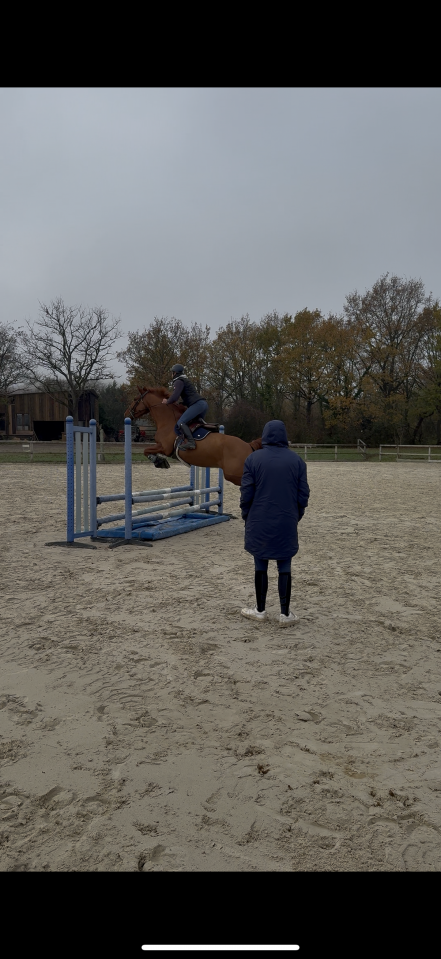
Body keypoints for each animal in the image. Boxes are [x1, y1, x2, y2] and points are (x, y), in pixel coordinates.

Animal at [125, 386, 262, 487]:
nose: (126, 414)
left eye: (135, 399)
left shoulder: (165, 448)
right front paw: (159, 461)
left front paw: (159, 461)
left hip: (233, 475)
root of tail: (249, 445)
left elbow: (146, 450)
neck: (167, 421)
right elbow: (147, 450)